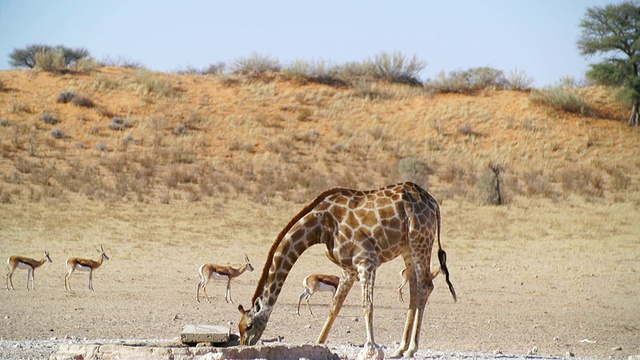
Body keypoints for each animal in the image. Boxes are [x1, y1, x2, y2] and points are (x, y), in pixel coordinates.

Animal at [238, 184, 458, 358]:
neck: (321, 226)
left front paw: (371, 350)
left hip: (420, 240)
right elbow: (334, 307)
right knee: (415, 290)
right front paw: (318, 344)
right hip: (408, 249)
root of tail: (433, 203)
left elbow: (367, 306)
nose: (245, 344)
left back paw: (411, 348)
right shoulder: (348, 268)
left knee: (426, 286)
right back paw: (401, 348)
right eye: (239, 328)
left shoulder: (366, 261)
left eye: (248, 325)